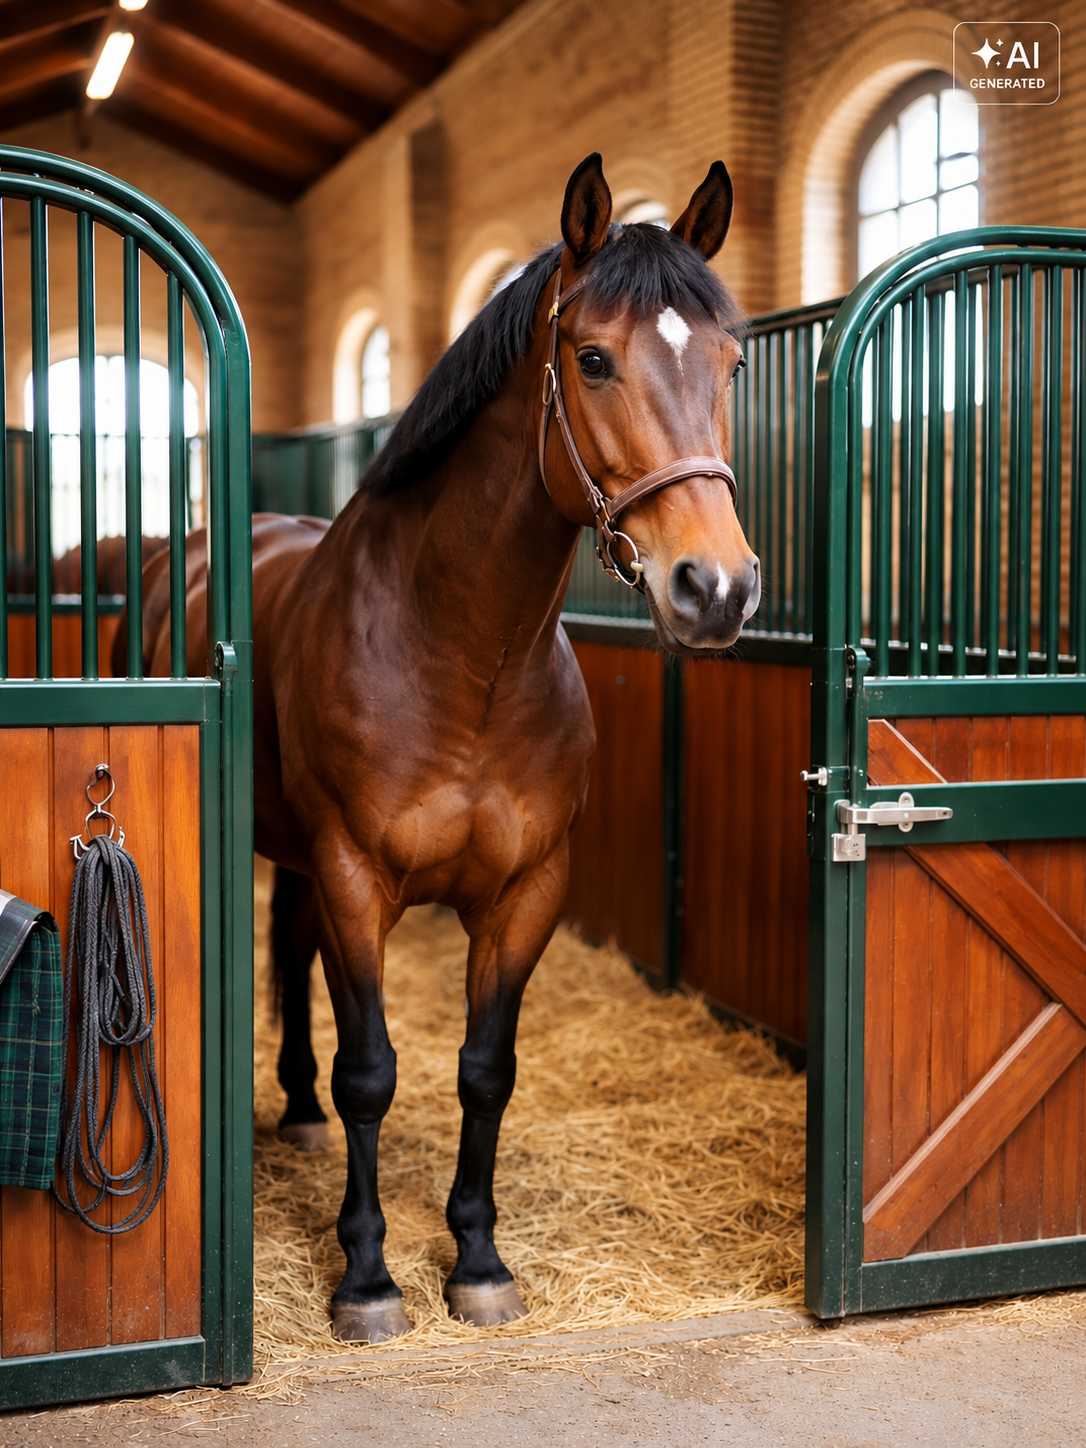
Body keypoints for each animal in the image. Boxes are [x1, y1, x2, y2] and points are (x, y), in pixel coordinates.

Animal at [135, 153, 758, 1344]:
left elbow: (484, 1070)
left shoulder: (525, 892)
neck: (462, 657)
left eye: (732, 362)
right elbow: (373, 1070)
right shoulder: (355, 878)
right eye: (593, 358)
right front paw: (368, 1279)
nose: (717, 588)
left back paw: (294, 1107)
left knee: (292, 950)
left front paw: (476, 1259)